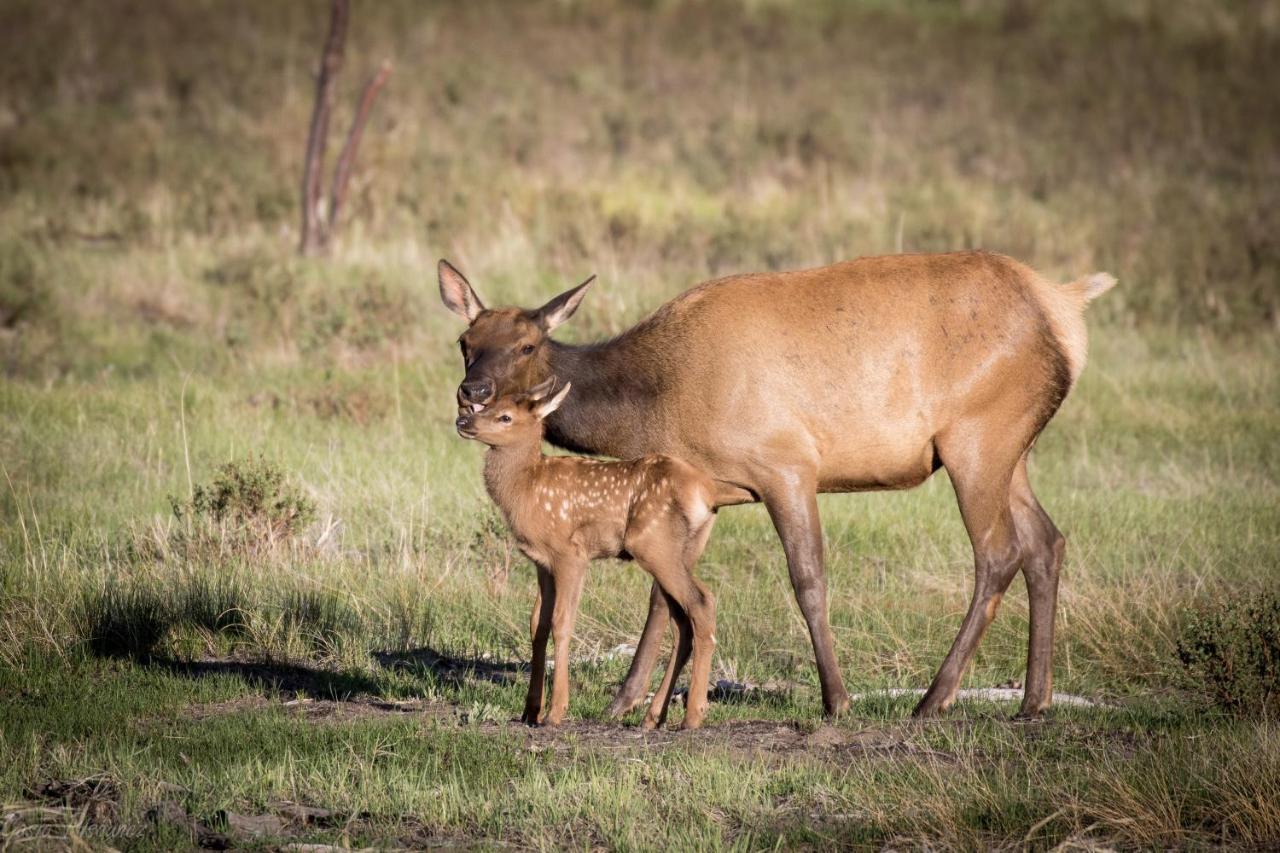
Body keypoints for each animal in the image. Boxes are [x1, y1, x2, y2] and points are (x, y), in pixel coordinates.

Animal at [455, 381, 721, 727]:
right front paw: (530, 710)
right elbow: (537, 625)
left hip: (652, 544)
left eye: (505, 417)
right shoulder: (542, 562)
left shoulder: (571, 553)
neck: (526, 489)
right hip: (683, 550)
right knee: (683, 622)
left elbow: (562, 622)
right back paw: (653, 717)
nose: (462, 421)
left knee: (702, 602)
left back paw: (692, 716)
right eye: (486, 406)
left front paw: (555, 711)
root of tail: (709, 494)